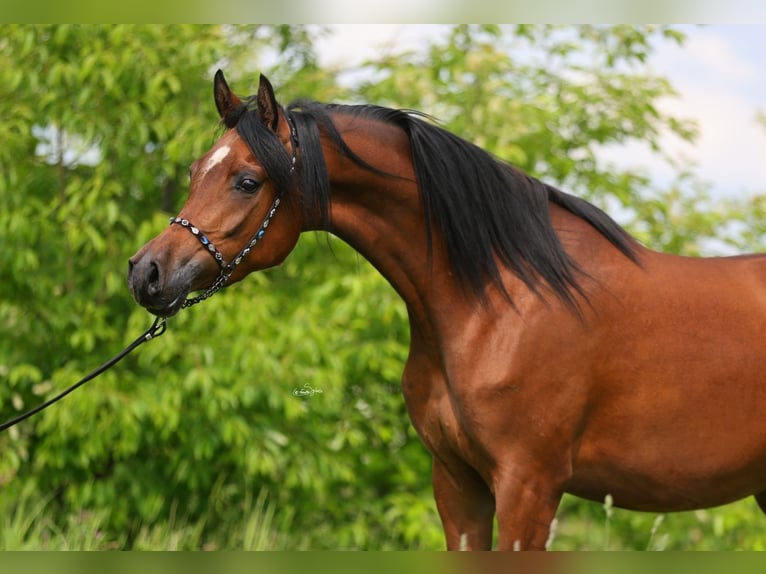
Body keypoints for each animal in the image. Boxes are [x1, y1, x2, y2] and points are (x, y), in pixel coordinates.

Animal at [128, 70, 766, 550]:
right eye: (194, 172)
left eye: (246, 180)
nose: (146, 272)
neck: (501, 299)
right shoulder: (458, 484)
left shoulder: (529, 486)